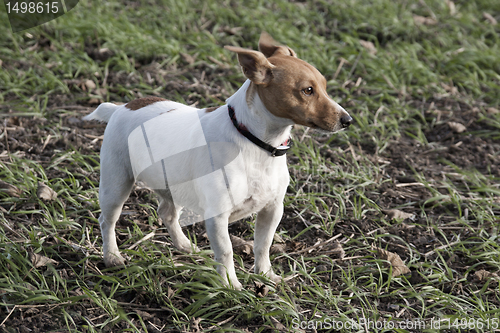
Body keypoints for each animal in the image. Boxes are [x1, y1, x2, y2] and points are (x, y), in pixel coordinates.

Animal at [84, 32, 352, 290]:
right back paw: (112, 256)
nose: (348, 120)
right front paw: (230, 286)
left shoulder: (273, 208)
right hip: (116, 183)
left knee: (167, 213)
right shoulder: (217, 216)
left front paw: (265, 276)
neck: (256, 143)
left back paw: (184, 246)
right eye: (307, 90)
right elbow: (226, 251)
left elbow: (263, 245)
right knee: (108, 220)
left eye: (324, 87)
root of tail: (121, 108)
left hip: (173, 184)